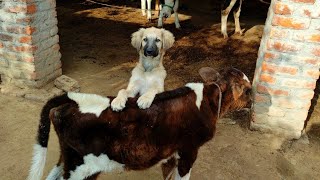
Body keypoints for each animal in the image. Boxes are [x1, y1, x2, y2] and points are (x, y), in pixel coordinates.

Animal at [27, 67, 251, 180]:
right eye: (248, 89)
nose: (252, 101)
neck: (208, 100)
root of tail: (73, 99)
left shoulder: (170, 153)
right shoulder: (189, 151)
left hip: (67, 159)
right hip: (80, 167)